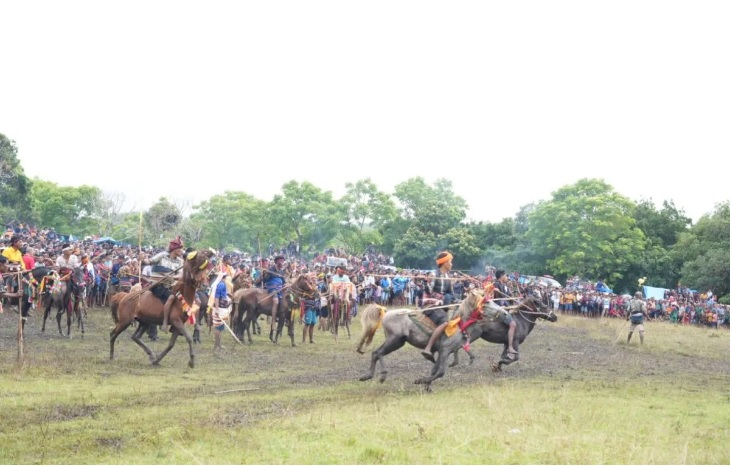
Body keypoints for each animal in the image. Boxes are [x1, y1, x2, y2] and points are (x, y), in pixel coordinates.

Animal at [356, 289, 485, 389]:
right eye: (483, 299)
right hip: (394, 340)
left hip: (397, 341)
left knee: (376, 353)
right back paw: (382, 375)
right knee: (378, 353)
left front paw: (427, 385)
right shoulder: (445, 350)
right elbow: (441, 372)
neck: (458, 322)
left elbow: (434, 369)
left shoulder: (444, 352)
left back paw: (367, 376)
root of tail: (387, 313)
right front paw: (421, 381)